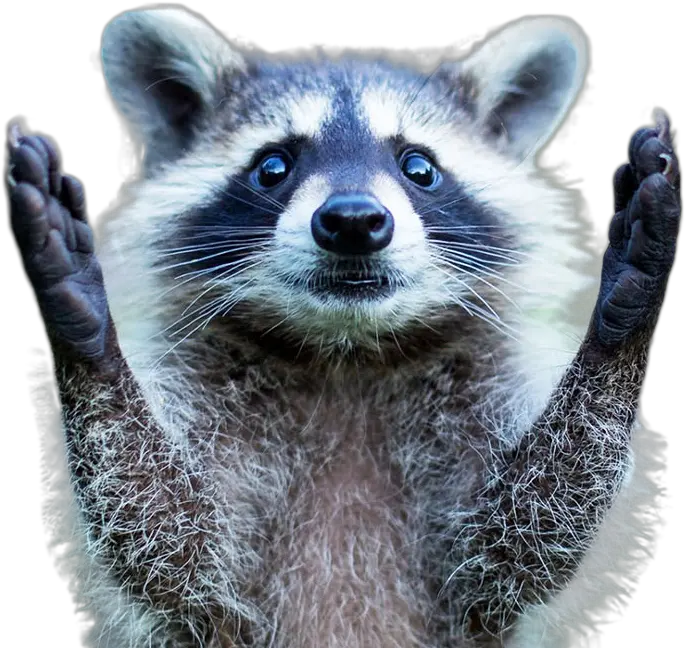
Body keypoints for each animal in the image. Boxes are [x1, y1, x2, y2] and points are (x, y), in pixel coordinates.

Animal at [3, 5, 681, 648]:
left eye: (419, 168)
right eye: (273, 167)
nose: (353, 220)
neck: (346, 353)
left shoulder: (485, 391)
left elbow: (530, 529)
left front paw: (620, 326)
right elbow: (164, 533)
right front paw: (84, 332)